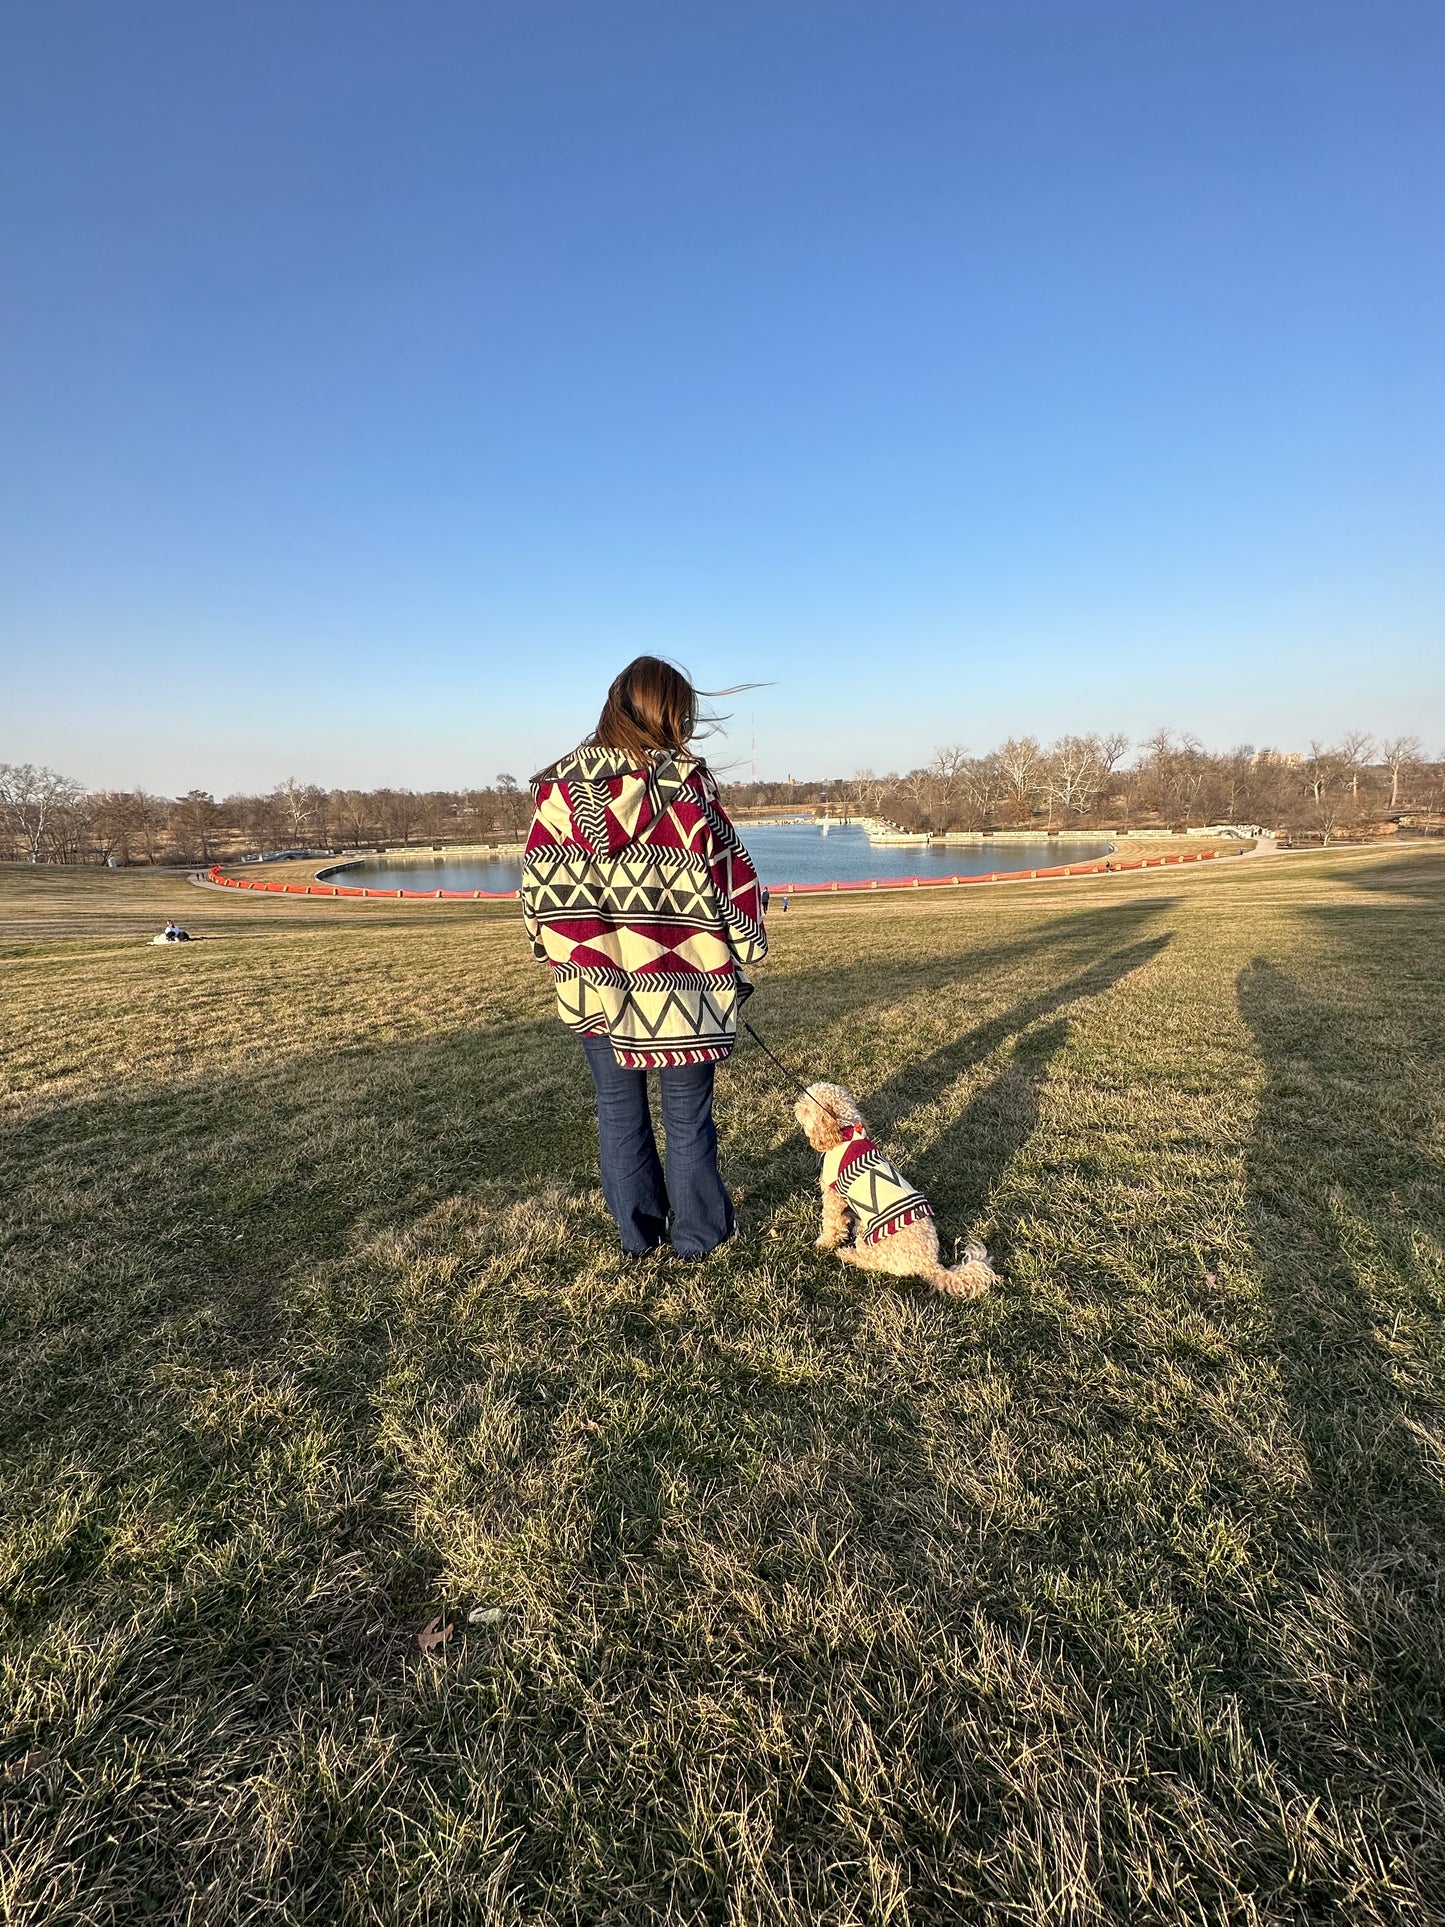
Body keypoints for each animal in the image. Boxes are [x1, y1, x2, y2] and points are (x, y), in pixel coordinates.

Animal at [797, 1079, 1001, 1302]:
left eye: (806, 1106)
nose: (796, 1108)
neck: (846, 1131)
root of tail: (929, 1264)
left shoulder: (833, 1196)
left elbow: (832, 1225)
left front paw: (823, 1243)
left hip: (871, 1244)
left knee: (869, 1262)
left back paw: (847, 1254)